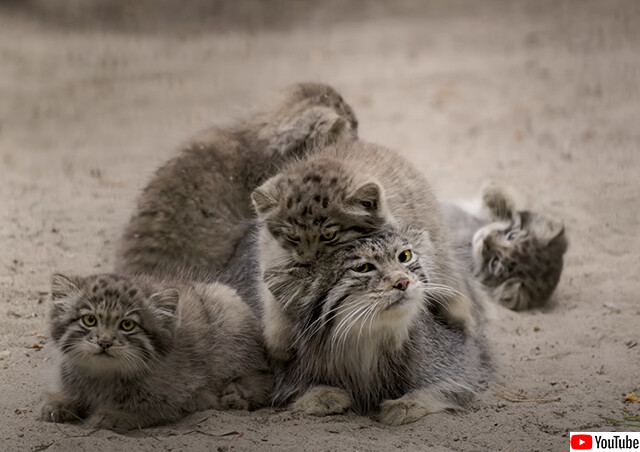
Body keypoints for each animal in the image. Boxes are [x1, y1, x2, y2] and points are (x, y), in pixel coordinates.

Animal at [39, 272, 270, 430]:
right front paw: (58, 402)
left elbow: (145, 410)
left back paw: (235, 394)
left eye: (127, 325)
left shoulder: (175, 397)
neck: (102, 376)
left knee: (261, 378)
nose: (104, 342)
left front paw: (113, 415)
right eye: (89, 320)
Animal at [262, 228, 492, 426]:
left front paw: (407, 403)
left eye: (405, 256)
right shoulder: (289, 362)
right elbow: (292, 388)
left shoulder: (461, 357)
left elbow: (444, 385)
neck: (368, 340)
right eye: (363, 268)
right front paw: (320, 394)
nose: (403, 282)